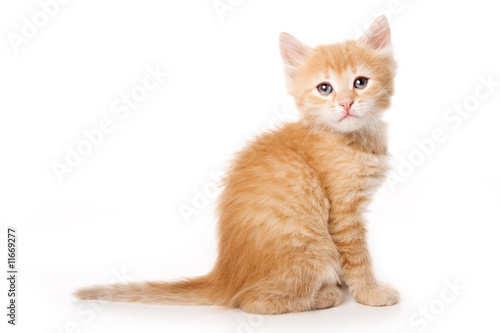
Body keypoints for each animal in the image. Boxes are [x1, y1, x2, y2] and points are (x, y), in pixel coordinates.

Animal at [76, 14, 398, 312]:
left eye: (360, 83)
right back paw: (324, 296)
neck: (352, 139)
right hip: (311, 248)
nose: (346, 103)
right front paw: (371, 294)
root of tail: (225, 276)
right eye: (325, 88)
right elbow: (357, 257)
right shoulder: (344, 213)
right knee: (252, 301)